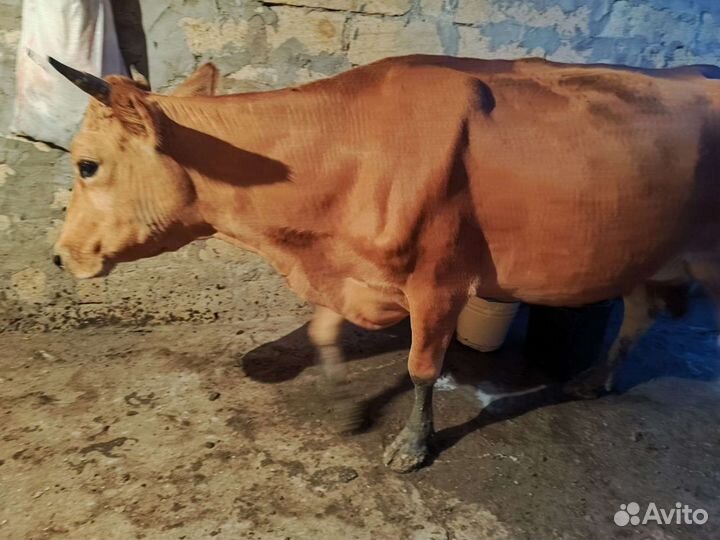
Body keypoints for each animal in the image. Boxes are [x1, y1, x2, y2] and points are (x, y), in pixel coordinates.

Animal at [48, 54, 720, 472]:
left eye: (86, 164)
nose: (57, 257)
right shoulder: (348, 273)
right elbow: (324, 328)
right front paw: (341, 392)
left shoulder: (440, 280)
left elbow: (423, 369)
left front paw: (412, 446)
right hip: (644, 255)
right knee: (639, 315)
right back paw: (594, 380)